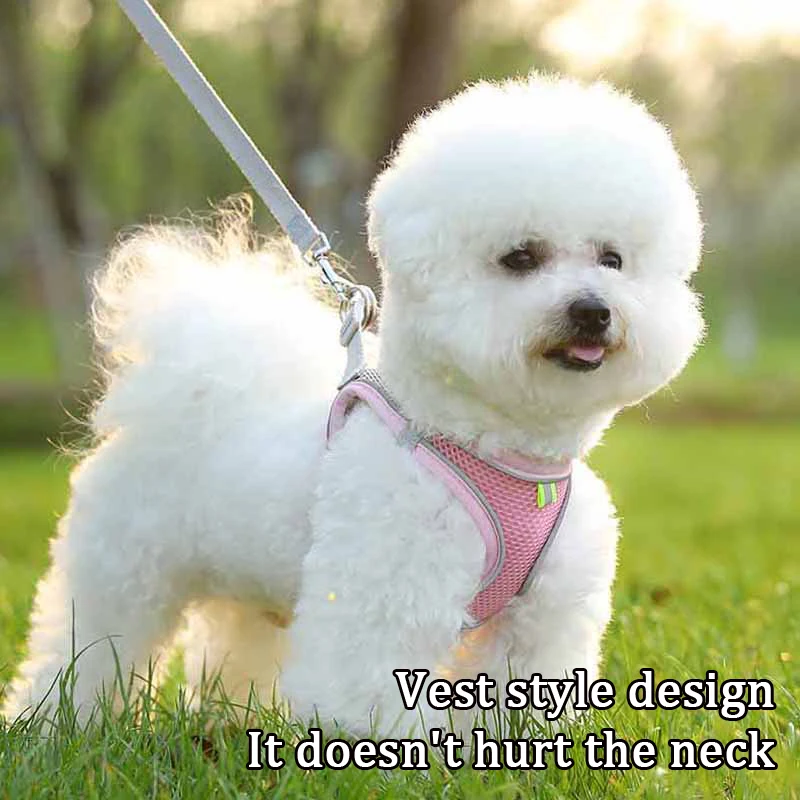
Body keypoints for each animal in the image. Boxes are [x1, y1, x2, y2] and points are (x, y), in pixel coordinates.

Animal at [3, 75, 703, 738]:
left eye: (612, 259)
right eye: (521, 258)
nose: (593, 310)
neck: (495, 448)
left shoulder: (541, 614)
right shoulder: (387, 585)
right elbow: (368, 673)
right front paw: (367, 740)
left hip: (246, 581)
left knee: (235, 638)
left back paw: (231, 716)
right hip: (124, 563)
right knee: (91, 640)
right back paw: (58, 722)